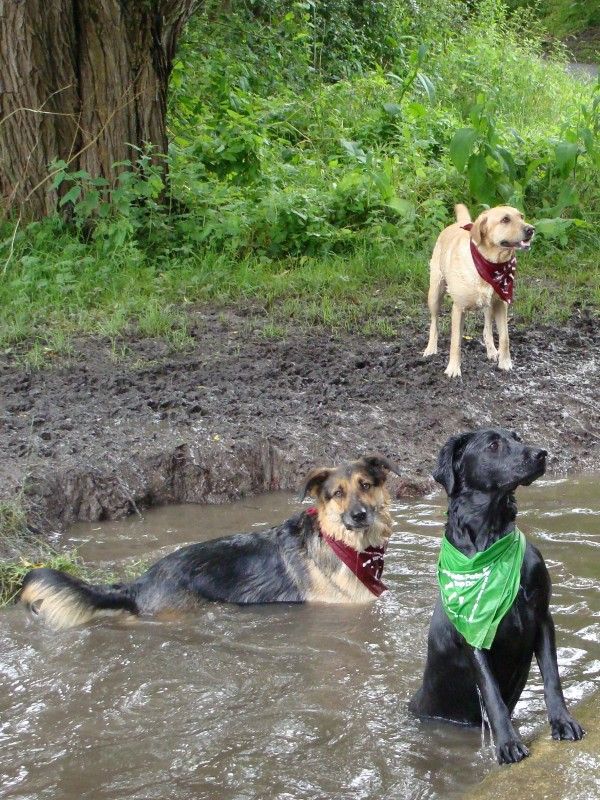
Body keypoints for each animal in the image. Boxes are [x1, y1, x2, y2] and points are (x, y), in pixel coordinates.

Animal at [410, 428, 584, 764]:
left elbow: (552, 678)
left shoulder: (542, 616)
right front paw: (508, 743)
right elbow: (492, 696)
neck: (491, 539)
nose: (541, 453)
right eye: (493, 445)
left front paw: (562, 721)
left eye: (517, 437)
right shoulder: (474, 638)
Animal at [422, 206, 536, 382]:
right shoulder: (458, 308)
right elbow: (455, 342)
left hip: (489, 306)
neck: (490, 262)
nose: (531, 229)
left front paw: (505, 363)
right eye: (505, 219)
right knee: (434, 321)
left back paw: (492, 350)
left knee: (487, 328)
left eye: (521, 216)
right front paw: (453, 369)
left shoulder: (501, 304)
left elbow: (505, 337)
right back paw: (431, 348)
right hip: (435, 293)